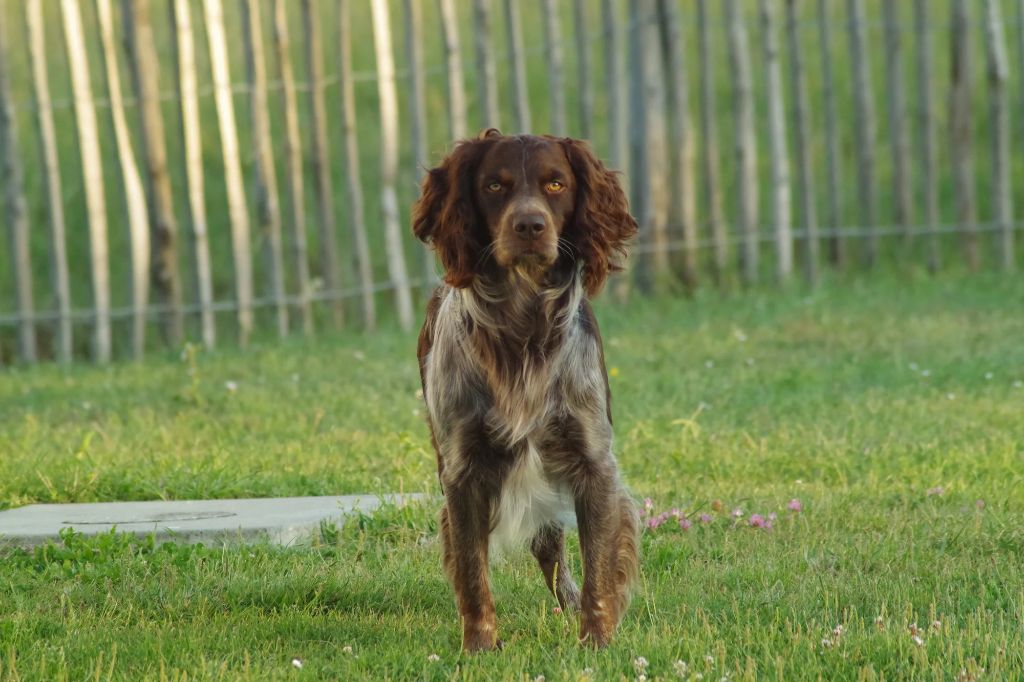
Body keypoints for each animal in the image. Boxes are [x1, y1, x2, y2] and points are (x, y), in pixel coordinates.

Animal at [411, 129, 634, 647]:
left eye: (556, 184)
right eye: (494, 185)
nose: (530, 225)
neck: (522, 323)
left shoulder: (593, 461)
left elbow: (598, 569)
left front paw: (596, 641)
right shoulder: (462, 471)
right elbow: (472, 571)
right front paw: (479, 647)